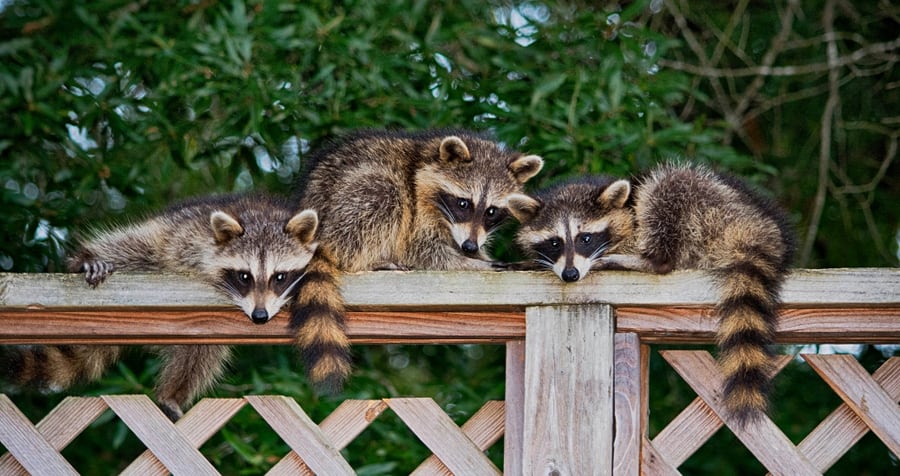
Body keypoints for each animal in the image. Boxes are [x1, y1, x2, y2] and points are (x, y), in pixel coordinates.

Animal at [0, 193, 320, 420]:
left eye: (279, 277)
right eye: (244, 276)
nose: (260, 316)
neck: (262, 216)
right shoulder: (189, 239)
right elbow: (142, 245)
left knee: (201, 353)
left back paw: (173, 393)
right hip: (174, 229)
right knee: (136, 244)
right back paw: (86, 258)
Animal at [292, 129, 544, 394]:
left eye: (491, 211)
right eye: (464, 203)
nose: (469, 247)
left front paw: (481, 257)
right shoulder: (418, 208)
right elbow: (424, 251)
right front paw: (479, 263)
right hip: (347, 204)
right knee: (381, 195)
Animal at [510, 164, 800, 424]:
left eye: (585, 238)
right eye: (555, 242)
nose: (571, 274)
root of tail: (761, 227)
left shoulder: (632, 224)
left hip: (708, 207)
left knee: (668, 187)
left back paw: (645, 260)